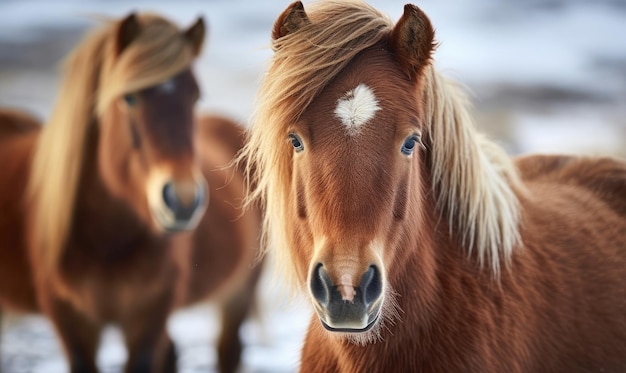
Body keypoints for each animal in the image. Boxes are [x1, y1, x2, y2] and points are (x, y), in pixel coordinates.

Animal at [0, 11, 260, 372]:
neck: (105, 239)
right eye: (129, 97)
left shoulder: (150, 312)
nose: (183, 200)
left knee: (228, 350)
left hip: (240, 291)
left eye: (195, 96)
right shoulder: (69, 318)